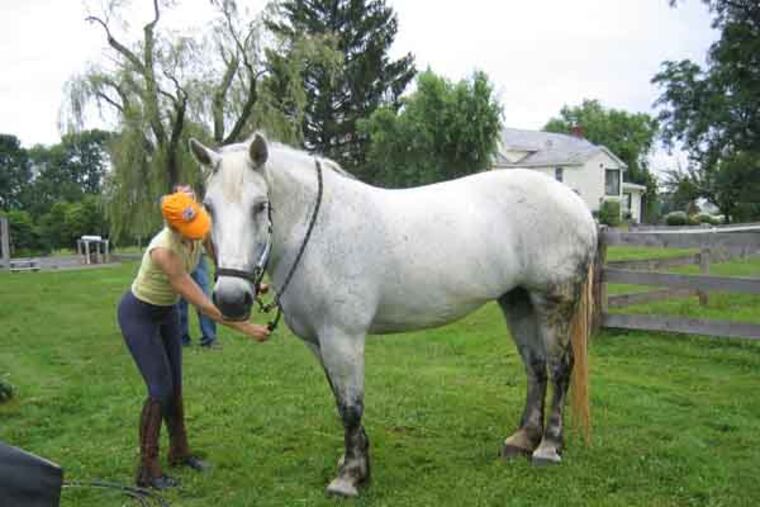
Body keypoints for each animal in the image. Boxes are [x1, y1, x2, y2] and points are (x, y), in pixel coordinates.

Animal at [189, 133, 597, 497]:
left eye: (260, 205)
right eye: (208, 206)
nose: (230, 300)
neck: (319, 231)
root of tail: (576, 205)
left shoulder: (342, 338)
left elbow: (351, 406)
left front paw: (349, 478)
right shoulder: (318, 343)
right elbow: (340, 402)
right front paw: (354, 464)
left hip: (552, 300)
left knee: (560, 367)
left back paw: (548, 447)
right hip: (517, 301)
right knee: (535, 367)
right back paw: (523, 439)